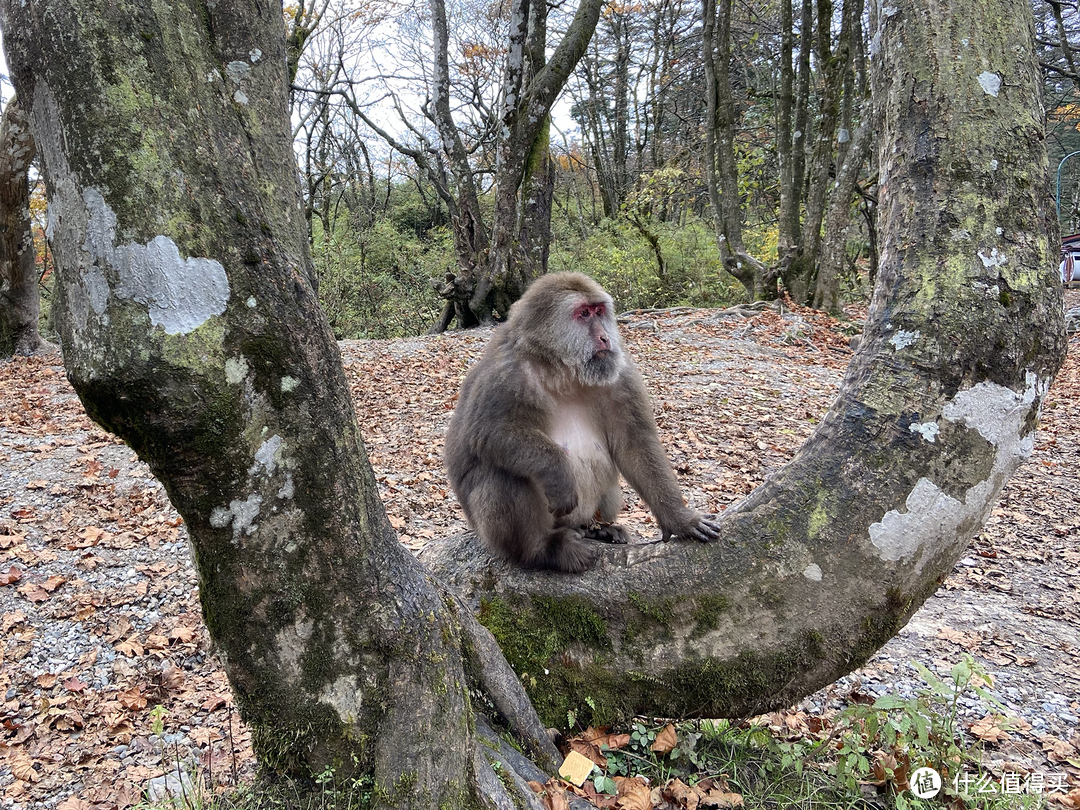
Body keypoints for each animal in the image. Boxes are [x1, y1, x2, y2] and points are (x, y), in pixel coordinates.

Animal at [442, 276, 721, 574]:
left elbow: (635, 444)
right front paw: (557, 472)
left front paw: (679, 519)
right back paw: (544, 550)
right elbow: (487, 434)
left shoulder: (621, 375)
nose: (605, 337)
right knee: (502, 472)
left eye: (599, 311)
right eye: (583, 313)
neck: (563, 370)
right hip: (495, 531)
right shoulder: (505, 375)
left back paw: (596, 529)